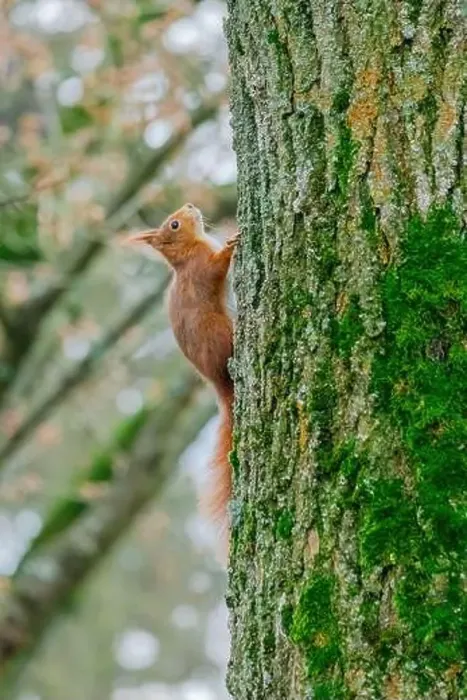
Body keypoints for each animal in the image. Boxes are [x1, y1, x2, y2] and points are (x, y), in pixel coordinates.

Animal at [126, 203, 239, 546]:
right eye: (174, 225)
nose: (189, 206)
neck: (189, 252)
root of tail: (219, 383)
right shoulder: (202, 268)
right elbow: (217, 268)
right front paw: (232, 244)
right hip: (220, 332)